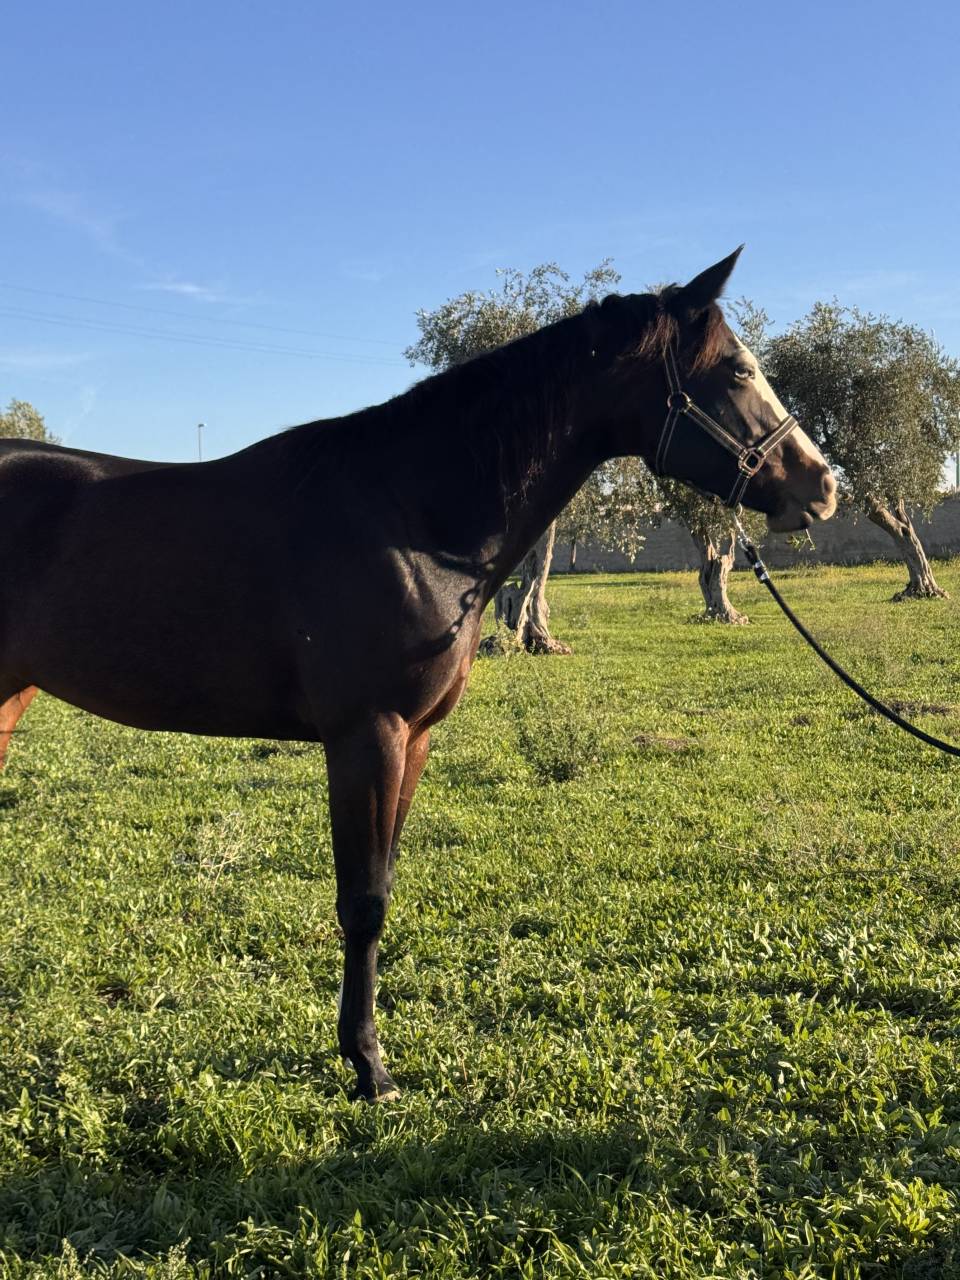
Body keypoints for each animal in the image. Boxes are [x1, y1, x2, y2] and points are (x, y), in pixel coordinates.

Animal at [0, 248, 836, 1100]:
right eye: (738, 369)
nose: (822, 485)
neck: (410, 517)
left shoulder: (415, 739)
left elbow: (384, 885)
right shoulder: (367, 736)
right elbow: (362, 901)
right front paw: (369, 1066)